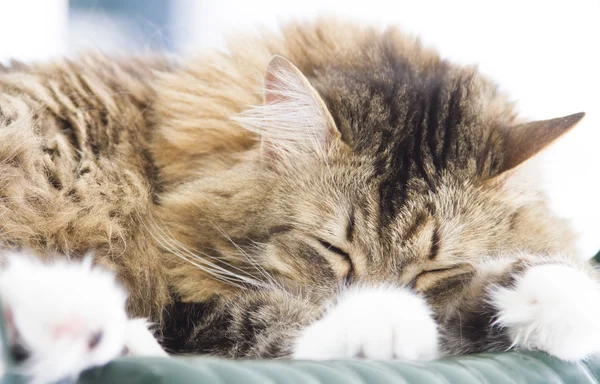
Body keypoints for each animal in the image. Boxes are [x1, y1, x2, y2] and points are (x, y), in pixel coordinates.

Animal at [1, 18, 600, 384]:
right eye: (333, 250)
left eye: (435, 269)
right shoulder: (187, 305)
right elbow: (273, 318)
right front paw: (384, 319)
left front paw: (554, 294)